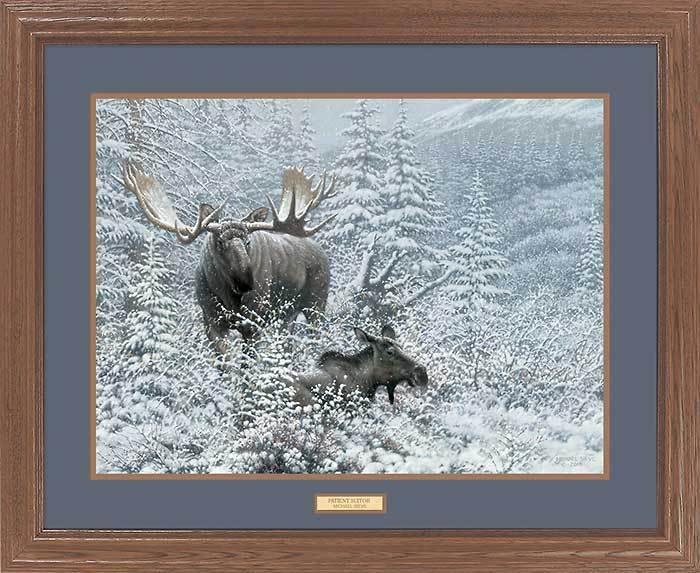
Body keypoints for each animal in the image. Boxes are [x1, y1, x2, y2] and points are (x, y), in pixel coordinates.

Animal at [122, 162, 338, 355]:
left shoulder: (253, 322)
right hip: (287, 316)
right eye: (219, 242)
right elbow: (224, 363)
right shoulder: (211, 321)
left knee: (316, 338)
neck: (227, 297)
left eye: (248, 242)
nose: (245, 283)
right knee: (287, 345)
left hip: (316, 303)